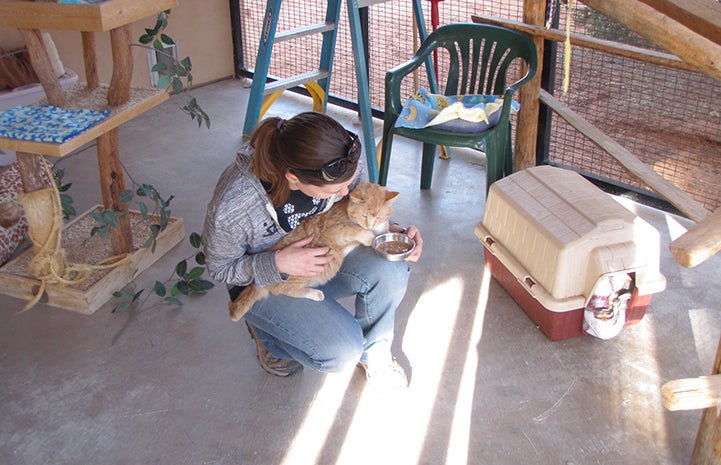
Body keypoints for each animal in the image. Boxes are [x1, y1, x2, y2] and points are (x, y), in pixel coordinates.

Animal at [229, 183, 400, 320]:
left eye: (379, 217)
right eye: (364, 215)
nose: (370, 225)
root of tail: (259, 281)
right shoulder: (333, 231)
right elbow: (354, 230)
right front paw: (367, 236)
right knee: (281, 290)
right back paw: (314, 293)